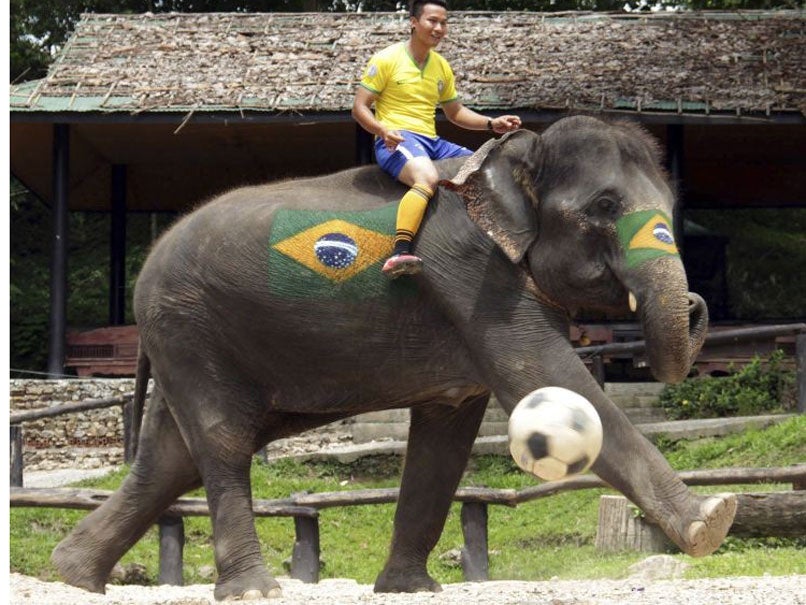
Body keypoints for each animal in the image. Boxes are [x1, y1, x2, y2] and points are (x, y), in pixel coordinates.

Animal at [52, 117, 740, 600]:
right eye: (602, 207)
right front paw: (712, 521)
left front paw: (411, 589)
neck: (520, 156)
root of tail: (149, 263)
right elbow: (544, 377)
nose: (699, 303)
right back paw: (250, 591)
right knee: (220, 442)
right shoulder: (472, 271)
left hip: (187, 335)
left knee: (170, 458)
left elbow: (447, 436)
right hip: (188, 325)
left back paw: (72, 575)